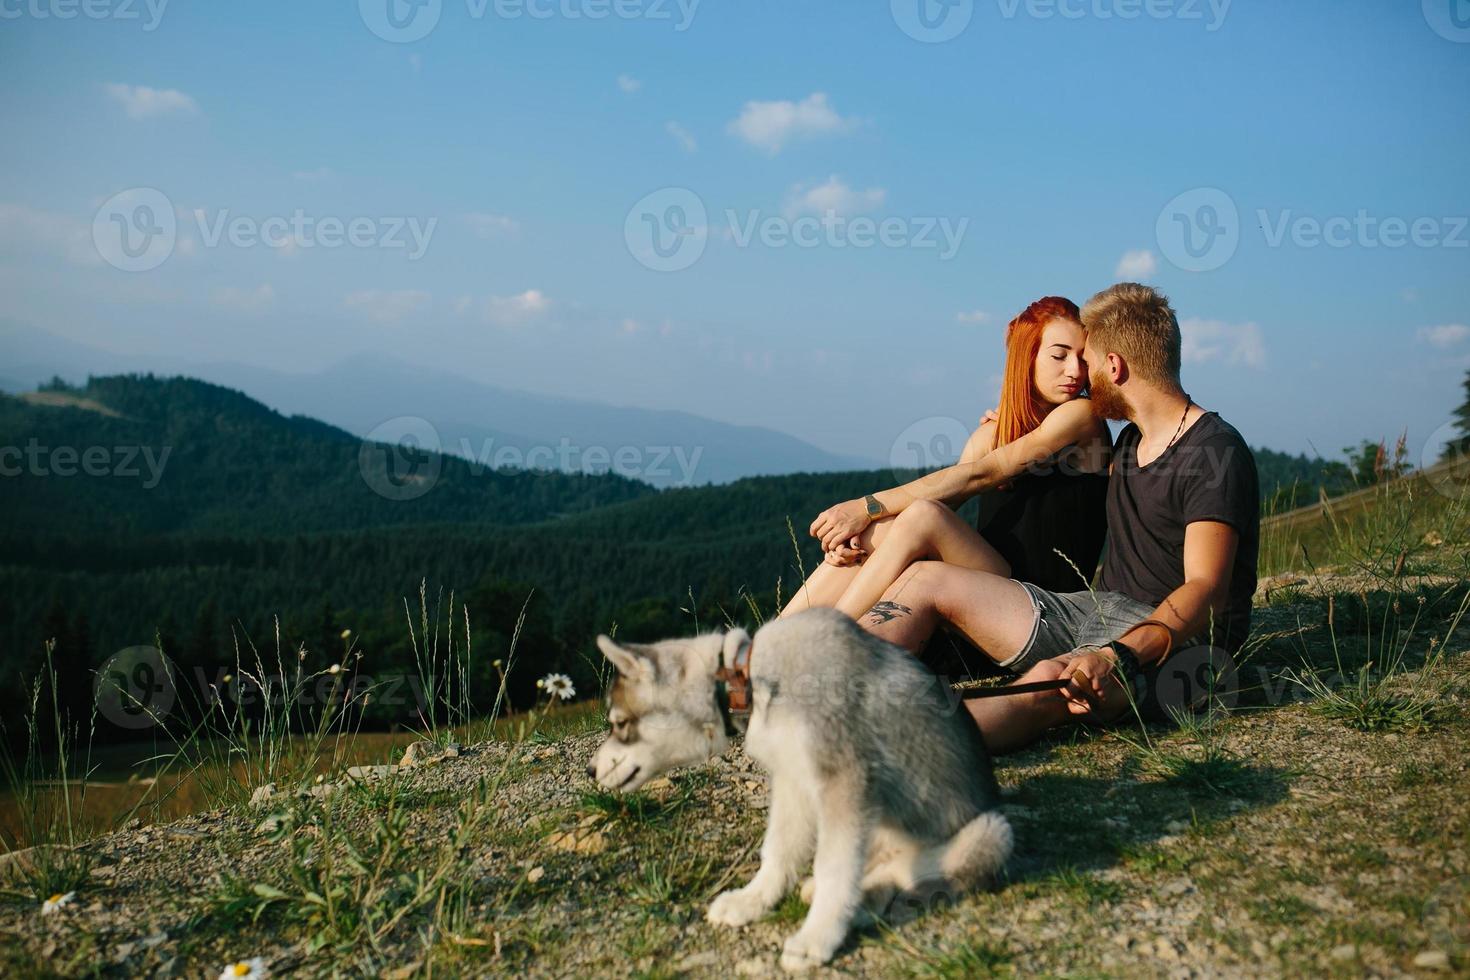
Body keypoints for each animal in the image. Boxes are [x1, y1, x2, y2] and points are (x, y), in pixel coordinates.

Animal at [585, 608, 1011, 969]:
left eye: (619, 724)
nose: (589, 771)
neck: (749, 680)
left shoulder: (846, 781)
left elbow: (834, 869)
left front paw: (817, 937)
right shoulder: (793, 781)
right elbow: (779, 850)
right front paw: (753, 901)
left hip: (991, 832)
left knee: (910, 873)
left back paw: (861, 906)